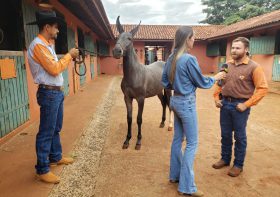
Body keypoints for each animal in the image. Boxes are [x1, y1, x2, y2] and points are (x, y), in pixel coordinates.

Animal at [112, 16, 173, 150]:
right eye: (117, 37)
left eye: (129, 38)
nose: (117, 51)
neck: (134, 75)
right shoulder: (127, 98)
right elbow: (129, 118)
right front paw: (127, 140)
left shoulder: (141, 99)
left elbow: (139, 119)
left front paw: (138, 141)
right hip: (158, 91)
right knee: (163, 103)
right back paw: (162, 122)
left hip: (168, 90)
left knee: (170, 105)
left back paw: (170, 126)